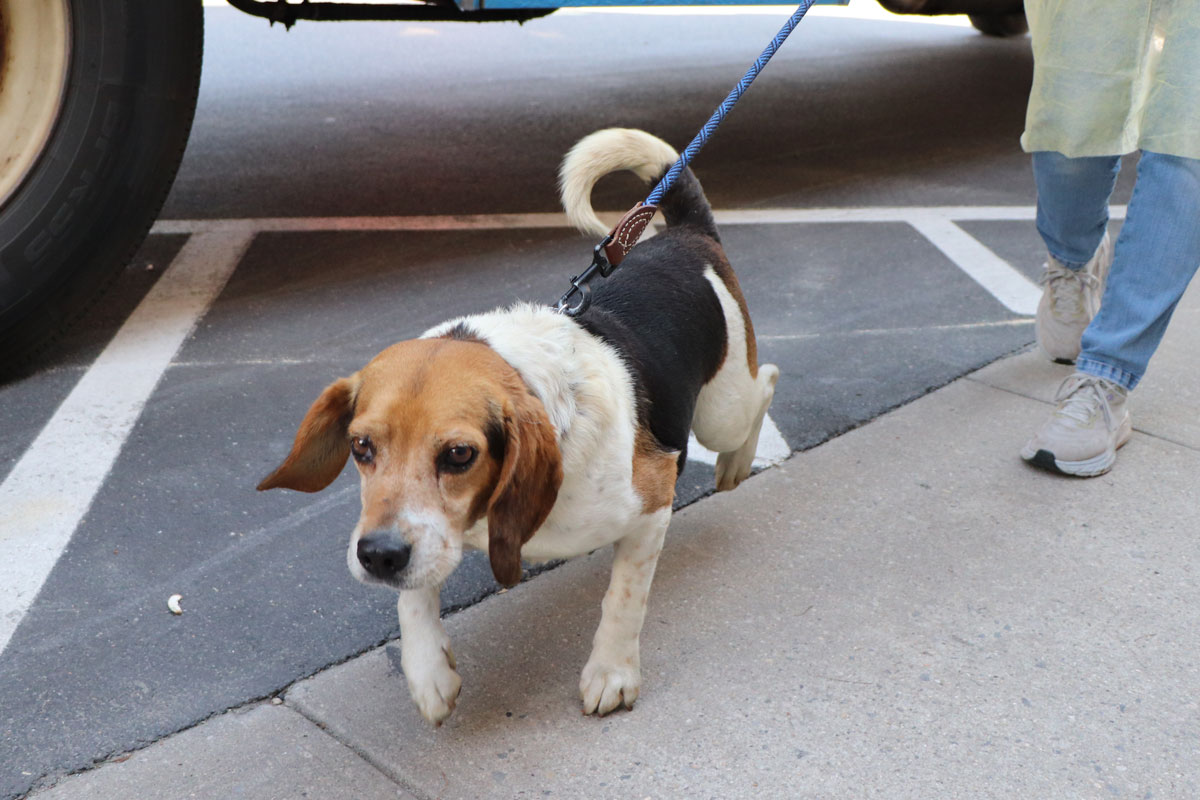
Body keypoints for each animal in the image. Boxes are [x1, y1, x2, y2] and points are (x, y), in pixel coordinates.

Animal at [258, 130, 777, 724]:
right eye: (360, 446)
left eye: (460, 455)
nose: (379, 556)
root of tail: (687, 235)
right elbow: (413, 596)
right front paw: (428, 671)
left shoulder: (652, 502)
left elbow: (623, 600)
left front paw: (611, 673)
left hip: (722, 410)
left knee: (766, 383)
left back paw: (738, 462)